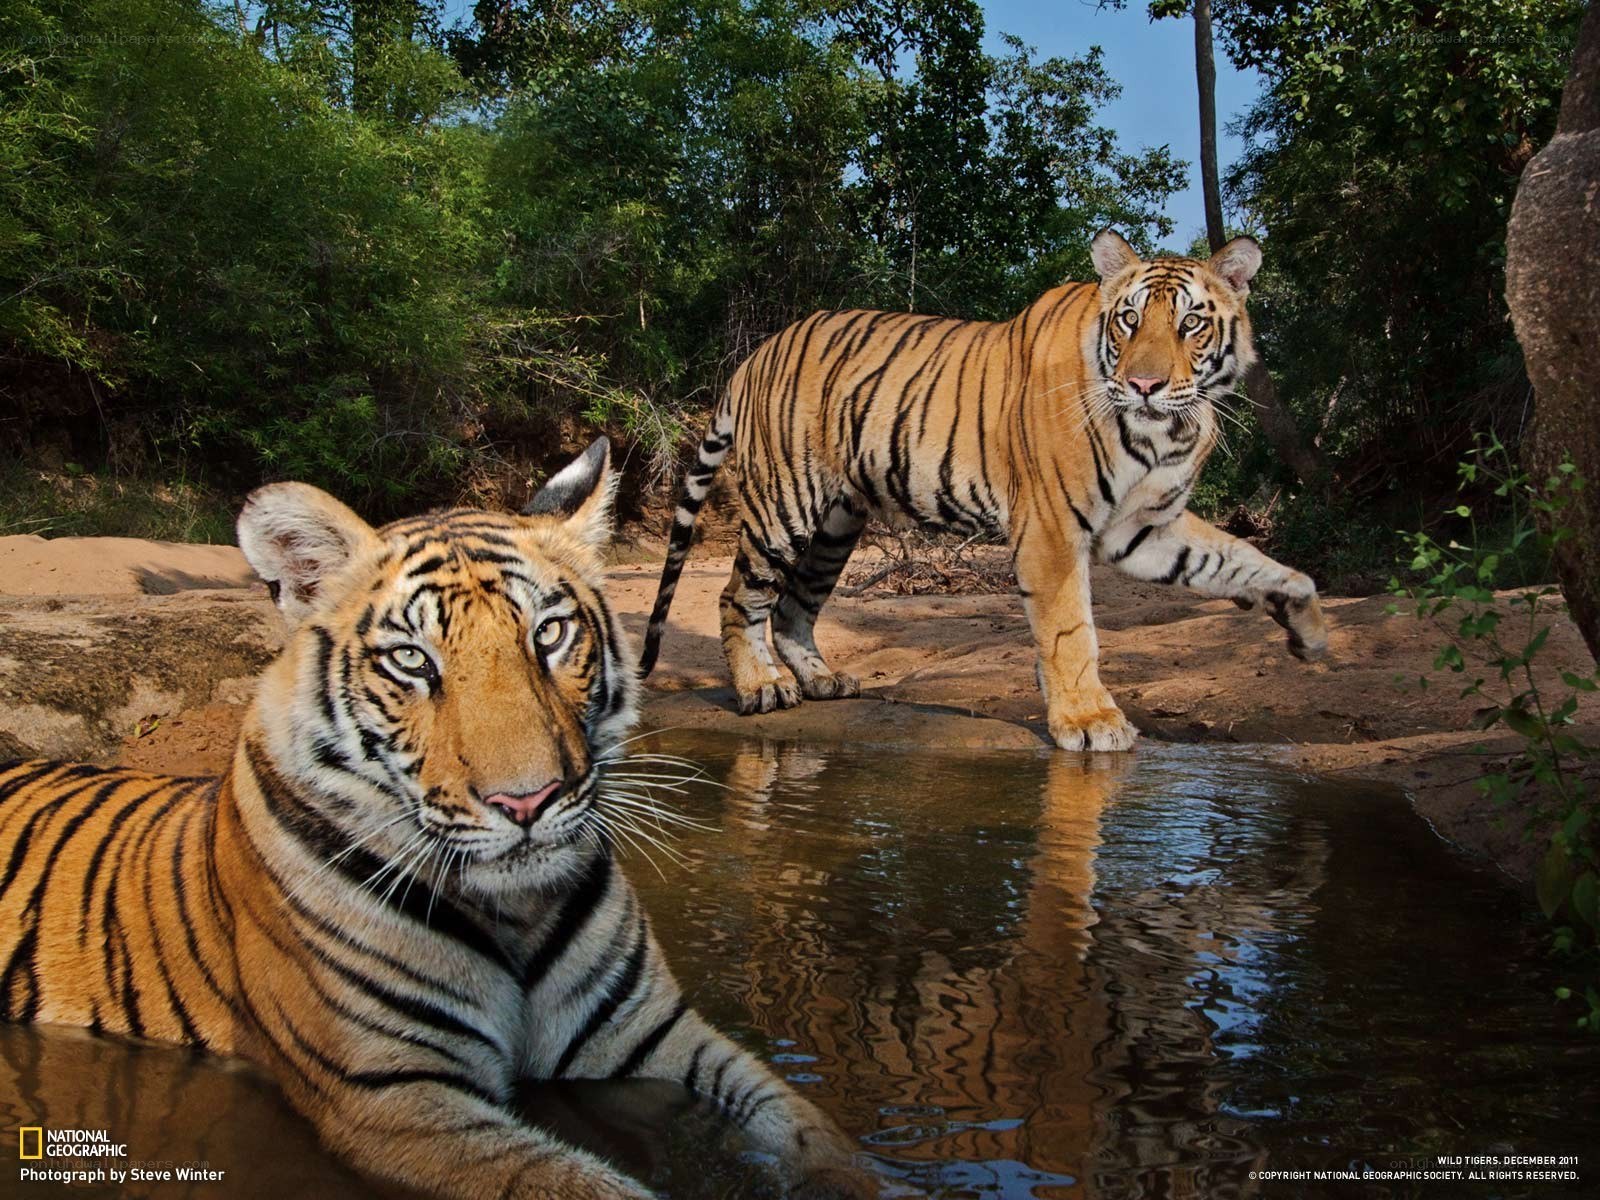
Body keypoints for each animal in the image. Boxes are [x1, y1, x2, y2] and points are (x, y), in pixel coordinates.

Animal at [0, 439, 870, 1200]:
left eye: (549, 634)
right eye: (412, 660)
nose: (527, 801)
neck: (517, 912)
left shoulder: (648, 1031)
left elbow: (803, 1120)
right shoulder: (395, 1096)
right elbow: (576, 1185)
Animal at [638, 229, 1329, 751]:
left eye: (1191, 324)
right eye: (1130, 320)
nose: (1144, 385)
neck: (1163, 432)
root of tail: (756, 354)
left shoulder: (1144, 528)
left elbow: (1244, 559)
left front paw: (1308, 625)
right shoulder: (1052, 529)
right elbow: (1070, 631)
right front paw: (1090, 721)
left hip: (837, 524)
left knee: (793, 606)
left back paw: (821, 681)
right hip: (786, 506)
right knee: (739, 596)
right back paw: (760, 688)